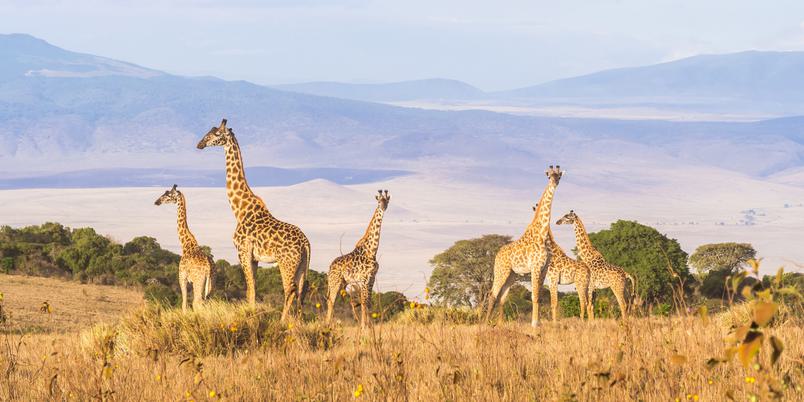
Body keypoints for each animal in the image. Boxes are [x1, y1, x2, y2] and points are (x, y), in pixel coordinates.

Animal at [197, 119, 311, 321]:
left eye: (216, 134)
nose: (200, 144)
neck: (240, 210)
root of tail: (306, 243)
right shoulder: (255, 257)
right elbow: (254, 289)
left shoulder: (242, 251)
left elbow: (249, 289)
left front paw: (250, 316)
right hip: (302, 265)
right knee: (300, 292)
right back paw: (297, 322)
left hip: (286, 263)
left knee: (289, 291)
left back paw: (282, 322)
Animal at [325, 190, 391, 328]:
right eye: (379, 201)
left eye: (387, 201)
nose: (383, 207)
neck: (371, 251)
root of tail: (330, 267)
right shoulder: (364, 279)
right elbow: (364, 302)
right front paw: (364, 327)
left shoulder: (371, 279)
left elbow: (367, 303)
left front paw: (369, 326)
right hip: (335, 282)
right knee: (331, 301)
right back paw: (327, 325)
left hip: (343, 282)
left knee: (331, 301)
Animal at [486, 165, 563, 327]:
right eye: (549, 176)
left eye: (559, 176)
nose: (555, 183)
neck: (542, 234)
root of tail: (497, 254)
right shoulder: (535, 266)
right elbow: (534, 296)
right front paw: (534, 323)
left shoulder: (544, 269)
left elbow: (539, 296)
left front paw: (538, 322)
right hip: (501, 271)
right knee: (493, 294)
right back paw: (484, 322)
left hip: (512, 275)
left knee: (502, 297)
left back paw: (500, 324)